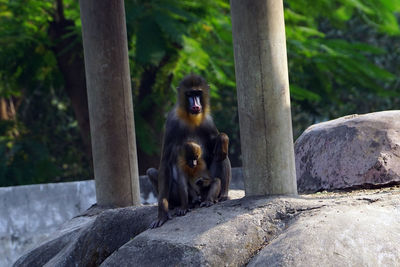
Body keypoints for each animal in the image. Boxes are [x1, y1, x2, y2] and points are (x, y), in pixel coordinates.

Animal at [147, 75, 230, 228]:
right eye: (189, 94)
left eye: (198, 93)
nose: (196, 105)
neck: (190, 118)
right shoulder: (171, 123)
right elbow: (165, 162)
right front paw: (162, 213)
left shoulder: (207, 122)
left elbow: (215, 141)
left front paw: (222, 138)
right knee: (151, 172)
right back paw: (179, 205)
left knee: (221, 154)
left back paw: (222, 195)